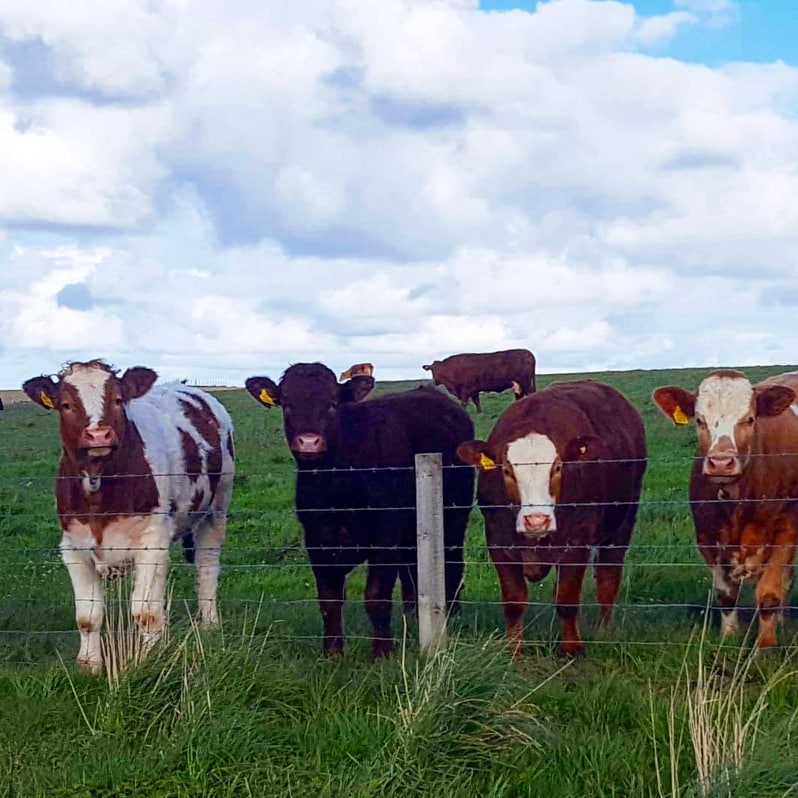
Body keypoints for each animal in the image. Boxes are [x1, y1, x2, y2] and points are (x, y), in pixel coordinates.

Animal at [21, 362, 234, 676]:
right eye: (66, 404)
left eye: (118, 400)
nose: (99, 435)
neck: (99, 489)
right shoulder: (73, 548)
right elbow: (87, 616)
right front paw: (89, 665)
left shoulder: (152, 543)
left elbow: (145, 612)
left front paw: (147, 660)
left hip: (216, 508)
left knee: (206, 566)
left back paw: (209, 624)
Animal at [245, 366, 476, 660]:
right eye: (286, 404)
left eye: (332, 404)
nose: (308, 442)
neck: (335, 488)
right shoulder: (317, 541)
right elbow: (329, 600)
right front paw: (332, 652)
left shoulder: (385, 538)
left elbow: (376, 596)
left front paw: (382, 652)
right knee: (411, 571)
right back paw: (412, 614)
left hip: (454, 514)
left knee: (452, 561)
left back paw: (452, 612)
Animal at [456, 382, 648, 656]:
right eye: (506, 470)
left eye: (557, 468)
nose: (536, 520)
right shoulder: (498, 541)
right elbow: (514, 600)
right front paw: (514, 649)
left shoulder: (576, 543)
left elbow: (566, 598)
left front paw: (571, 649)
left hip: (622, 521)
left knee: (609, 576)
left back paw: (604, 628)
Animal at [652, 368, 798, 648]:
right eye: (699, 420)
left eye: (750, 419)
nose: (721, 462)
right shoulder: (707, 537)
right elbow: (726, 594)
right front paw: (728, 637)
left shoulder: (786, 532)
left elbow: (770, 593)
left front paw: (765, 646)